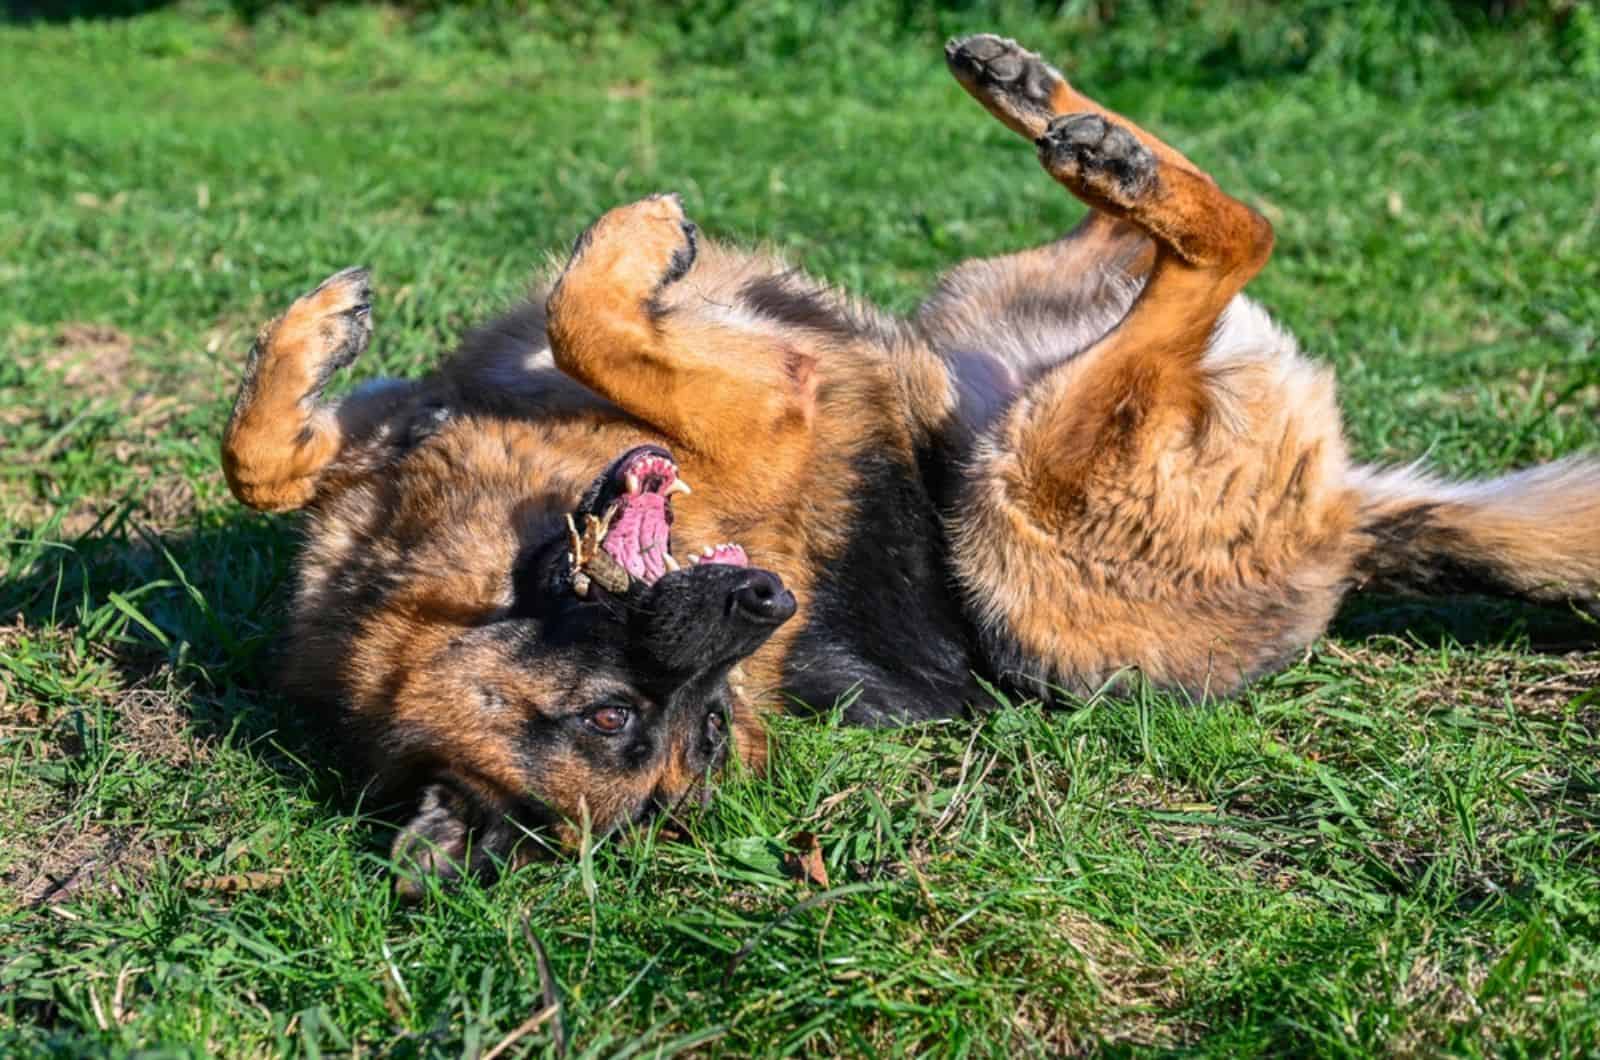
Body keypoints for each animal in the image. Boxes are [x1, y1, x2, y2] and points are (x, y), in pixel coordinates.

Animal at [219, 35, 1593, 896]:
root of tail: (1349, 535)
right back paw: (1090, 143)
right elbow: (549, 334)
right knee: (1226, 249)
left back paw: (1052, 109)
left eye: (689, 724)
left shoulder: (494, 418)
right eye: (636, 724)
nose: (765, 600)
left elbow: (282, 451)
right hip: (1026, 488)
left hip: (979, 354)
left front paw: (313, 347)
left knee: (1210, 234)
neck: (466, 566)